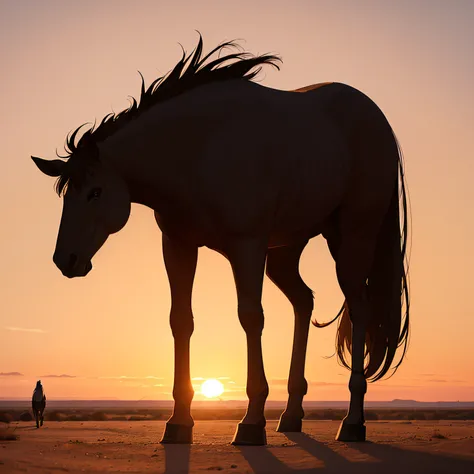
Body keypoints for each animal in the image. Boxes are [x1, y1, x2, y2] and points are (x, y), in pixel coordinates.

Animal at [31, 36, 410, 444]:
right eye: (66, 194)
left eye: (95, 192)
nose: (66, 259)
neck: (198, 151)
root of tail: (377, 119)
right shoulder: (179, 246)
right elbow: (180, 320)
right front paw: (179, 421)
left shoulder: (247, 247)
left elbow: (250, 317)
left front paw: (251, 422)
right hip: (286, 252)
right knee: (303, 302)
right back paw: (292, 414)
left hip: (353, 238)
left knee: (359, 310)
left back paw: (353, 421)